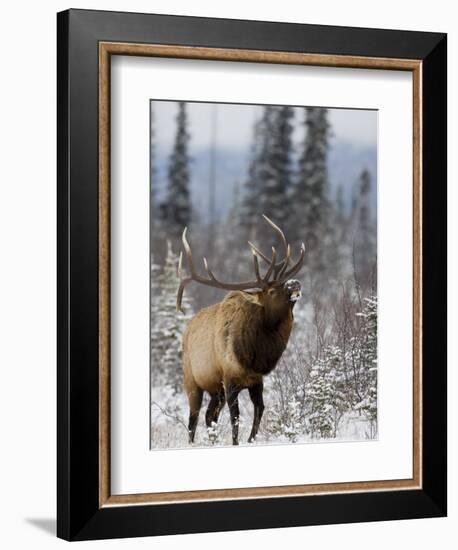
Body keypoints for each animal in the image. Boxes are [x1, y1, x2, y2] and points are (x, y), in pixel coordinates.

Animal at [177, 218, 306, 446]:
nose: (295, 283)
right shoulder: (230, 380)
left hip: (215, 390)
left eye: (284, 282)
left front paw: (251, 440)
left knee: (209, 415)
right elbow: (235, 418)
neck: (255, 355)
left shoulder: (256, 380)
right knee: (193, 419)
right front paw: (236, 442)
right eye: (272, 290)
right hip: (192, 381)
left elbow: (259, 410)